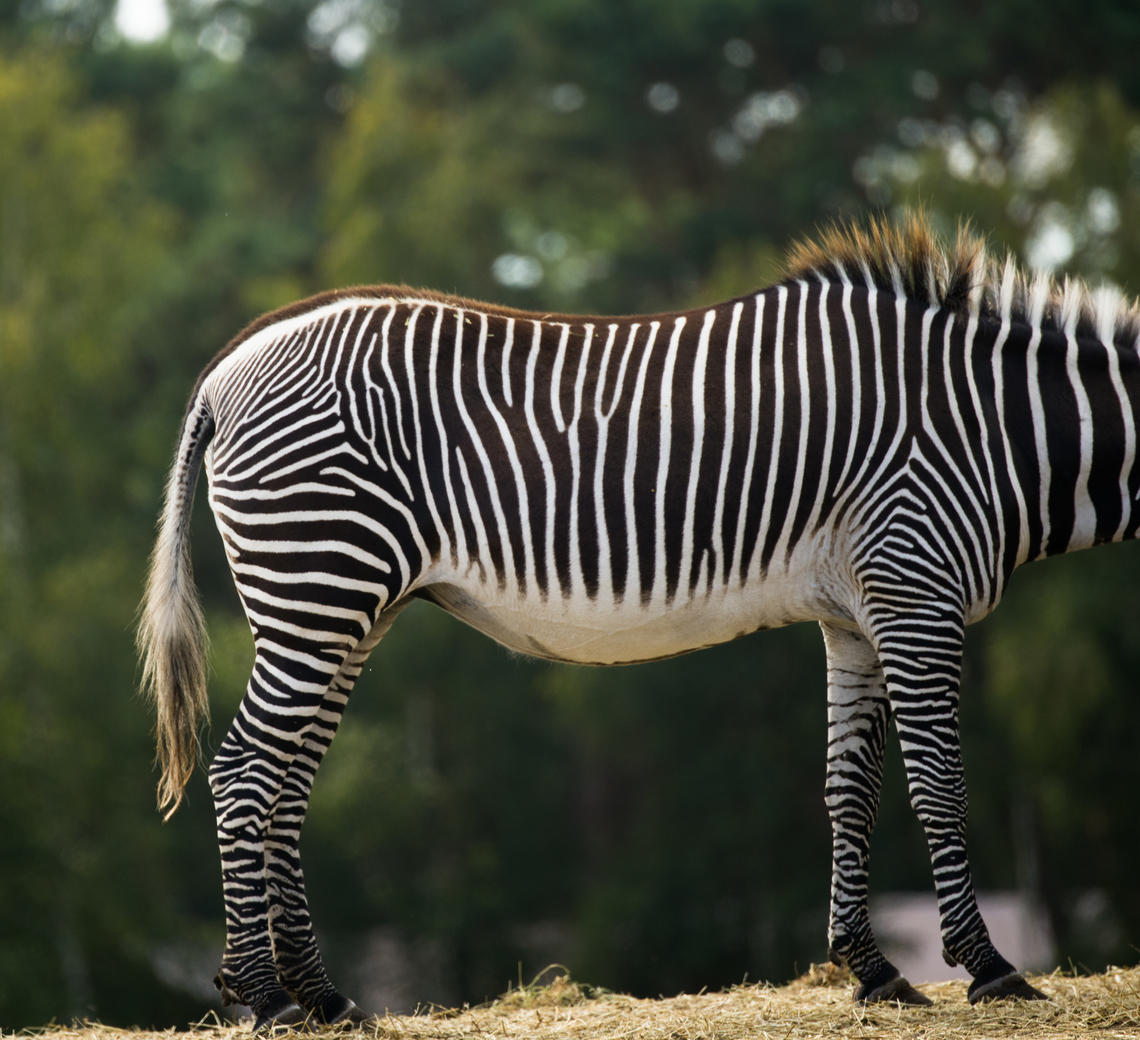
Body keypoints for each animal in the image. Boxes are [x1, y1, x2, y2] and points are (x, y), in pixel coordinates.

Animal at [139, 212, 1139, 1027]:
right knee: (244, 771)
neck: (1001, 427)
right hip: (319, 580)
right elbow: (939, 784)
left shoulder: (857, 613)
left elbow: (850, 789)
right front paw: (990, 968)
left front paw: (872, 970)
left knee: (287, 782)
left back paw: (322, 996)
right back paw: (263, 996)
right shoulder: (915, 585)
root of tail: (222, 373)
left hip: (344, 605)